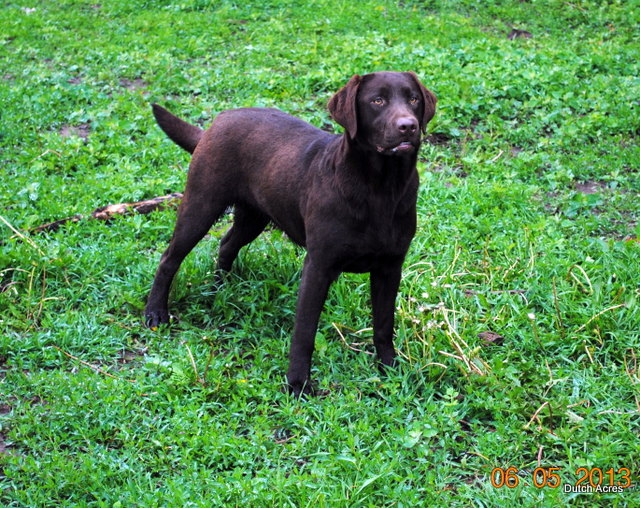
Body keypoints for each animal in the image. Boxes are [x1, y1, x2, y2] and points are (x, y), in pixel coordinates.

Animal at [144, 72, 436, 396]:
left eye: (413, 99)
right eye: (377, 101)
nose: (408, 126)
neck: (380, 188)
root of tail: (218, 121)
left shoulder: (390, 268)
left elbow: (384, 325)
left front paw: (389, 369)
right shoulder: (318, 266)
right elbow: (305, 332)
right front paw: (298, 384)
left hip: (253, 217)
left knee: (227, 244)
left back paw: (221, 286)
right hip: (201, 206)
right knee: (169, 258)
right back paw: (156, 313)